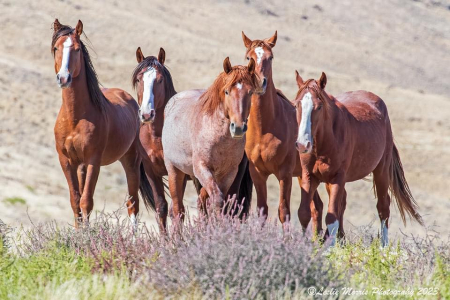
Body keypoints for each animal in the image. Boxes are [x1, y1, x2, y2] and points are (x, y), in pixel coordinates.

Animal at [51, 19, 155, 229]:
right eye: (56, 47)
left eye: (76, 49)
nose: (63, 78)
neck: (75, 118)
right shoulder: (66, 161)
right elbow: (76, 201)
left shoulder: (94, 160)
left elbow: (86, 202)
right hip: (82, 166)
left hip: (131, 162)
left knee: (133, 203)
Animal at [162, 57, 260, 221]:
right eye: (227, 91)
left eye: (250, 92)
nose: (238, 127)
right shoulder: (202, 168)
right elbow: (217, 199)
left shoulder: (228, 174)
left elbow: (218, 201)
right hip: (174, 171)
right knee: (177, 209)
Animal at [241, 31, 326, 230]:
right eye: (248, 57)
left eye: (270, 57)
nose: (260, 82)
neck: (265, 129)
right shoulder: (257, 173)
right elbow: (262, 211)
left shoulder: (284, 173)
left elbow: (283, 212)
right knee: (316, 207)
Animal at [294, 71, 424, 246]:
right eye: (296, 105)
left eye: (319, 106)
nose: (303, 144)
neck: (325, 142)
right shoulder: (308, 176)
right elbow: (304, 213)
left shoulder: (337, 178)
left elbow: (331, 217)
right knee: (342, 204)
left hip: (381, 170)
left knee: (383, 207)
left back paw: (383, 246)